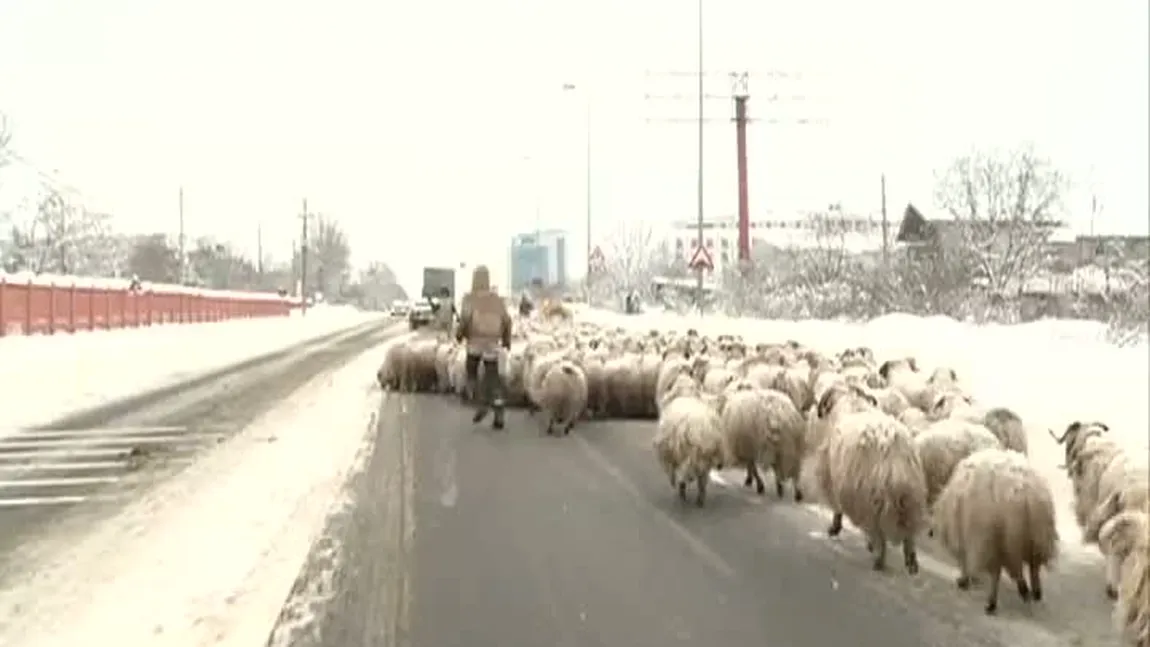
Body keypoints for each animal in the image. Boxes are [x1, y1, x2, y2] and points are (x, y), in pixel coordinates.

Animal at [814, 381, 929, 574]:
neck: (852, 402)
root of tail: (892, 448)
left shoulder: (835, 478)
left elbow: (837, 509)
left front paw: (834, 529)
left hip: (871, 496)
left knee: (879, 533)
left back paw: (879, 558)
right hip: (911, 496)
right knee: (909, 534)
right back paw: (911, 562)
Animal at [929, 448, 1053, 615]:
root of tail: (1024, 492)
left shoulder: (970, 535)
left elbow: (966, 559)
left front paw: (964, 580)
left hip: (997, 538)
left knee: (998, 572)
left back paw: (994, 602)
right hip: (1037, 535)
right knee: (1034, 565)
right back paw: (1034, 592)